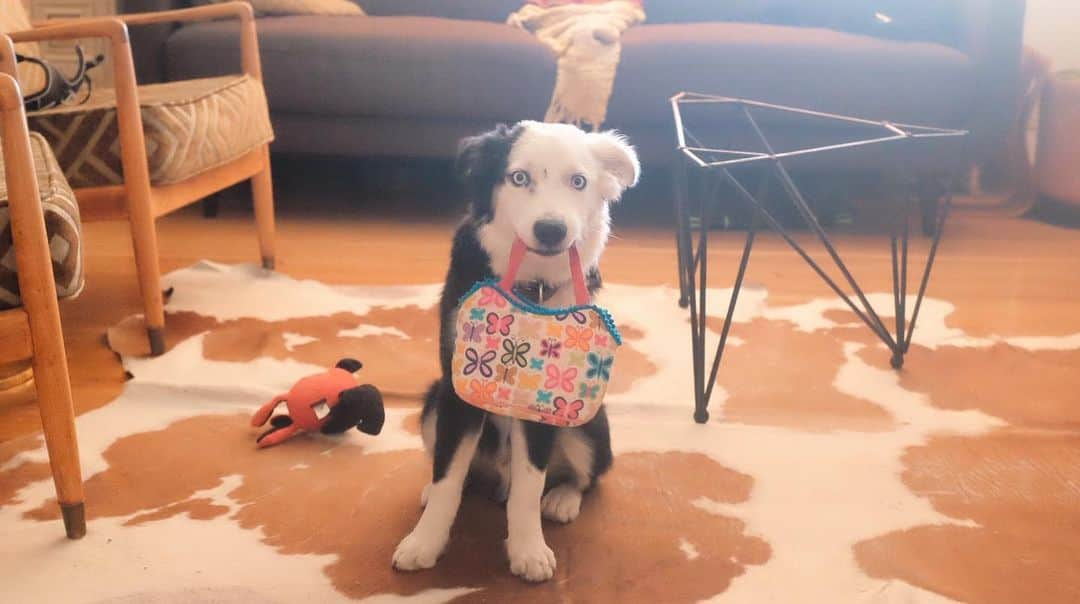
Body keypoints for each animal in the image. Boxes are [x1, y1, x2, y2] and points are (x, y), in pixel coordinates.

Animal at [393, 119, 635, 583]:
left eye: (578, 181)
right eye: (519, 178)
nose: (551, 230)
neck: (531, 284)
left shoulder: (543, 403)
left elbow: (529, 484)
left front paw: (528, 551)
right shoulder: (457, 390)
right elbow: (448, 477)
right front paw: (424, 543)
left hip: (588, 424)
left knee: (586, 478)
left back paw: (562, 499)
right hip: (432, 402)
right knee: (456, 471)